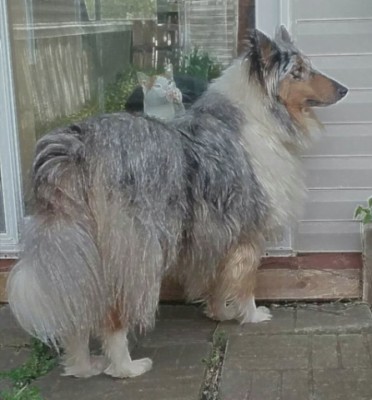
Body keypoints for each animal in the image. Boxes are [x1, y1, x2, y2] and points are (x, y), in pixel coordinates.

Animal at [6, 27, 348, 378]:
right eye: (298, 71)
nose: (344, 89)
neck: (261, 115)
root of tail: (79, 144)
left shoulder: (216, 233)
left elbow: (217, 279)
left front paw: (219, 313)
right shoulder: (247, 231)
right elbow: (244, 281)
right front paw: (251, 316)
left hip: (81, 246)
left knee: (79, 305)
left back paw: (83, 365)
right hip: (134, 251)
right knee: (113, 311)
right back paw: (126, 367)